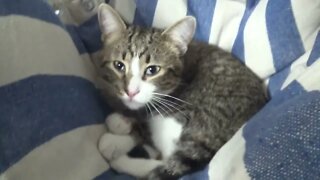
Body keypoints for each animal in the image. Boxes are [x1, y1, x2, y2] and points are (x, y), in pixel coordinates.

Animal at [95, 3, 268, 180]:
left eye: (152, 70)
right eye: (118, 65)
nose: (131, 91)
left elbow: (145, 125)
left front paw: (118, 134)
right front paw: (124, 121)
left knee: (165, 160)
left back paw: (122, 160)